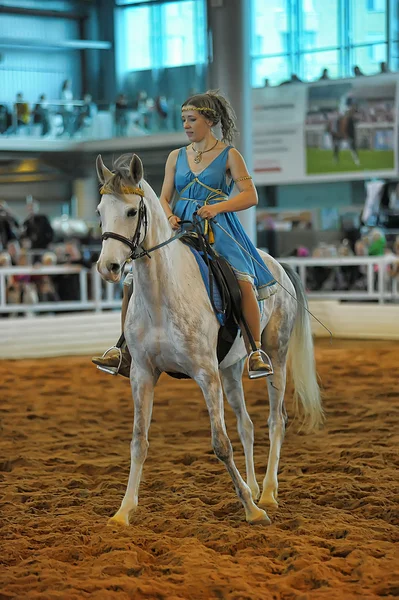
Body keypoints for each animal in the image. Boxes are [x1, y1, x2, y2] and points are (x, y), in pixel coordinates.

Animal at [97, 154, 324, 524]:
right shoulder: (142, 374)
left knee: (275, 421)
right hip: (230, 370)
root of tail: (275, 264)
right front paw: (124, 510)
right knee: (246, 425)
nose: (109, 267)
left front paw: (252, 511)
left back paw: (268, 494)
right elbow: (139, 441)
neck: (161, 294)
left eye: (132, 212)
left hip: (275, 355)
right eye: (101, 211)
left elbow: (221, 443)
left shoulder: (206, 374)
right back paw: (255, 488)